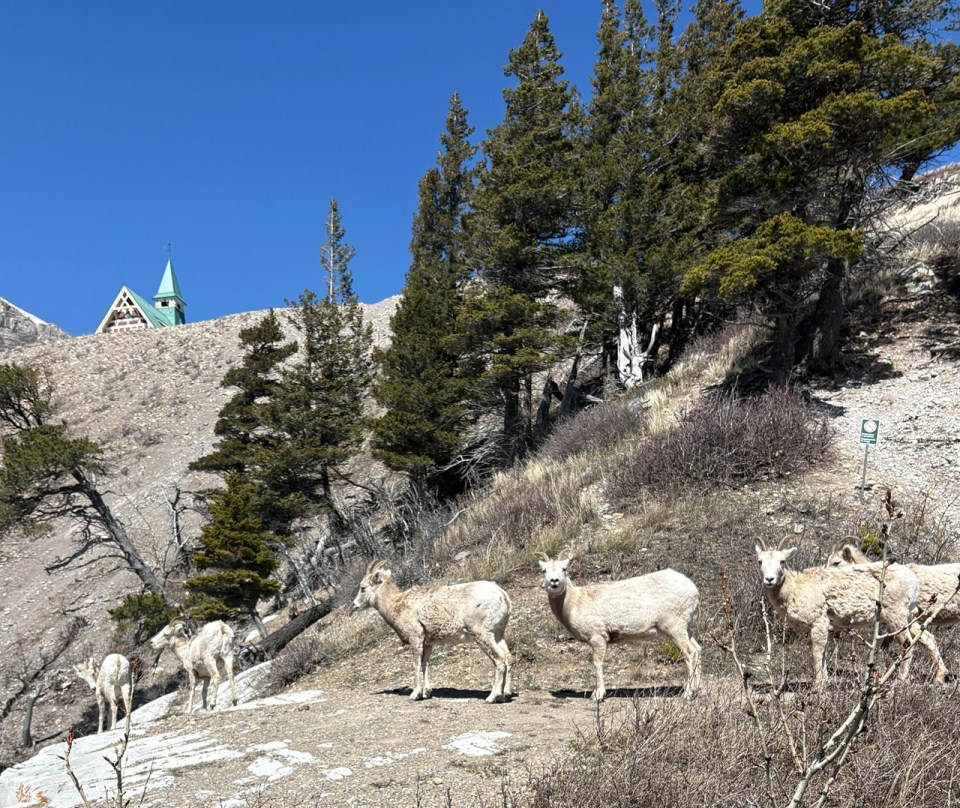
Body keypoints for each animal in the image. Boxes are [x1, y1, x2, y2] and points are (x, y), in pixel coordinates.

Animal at [351, 560, 512, 703]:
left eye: (363, 588)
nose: (354, 606)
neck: (396, 605)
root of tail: (502, 595)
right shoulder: (428, 643)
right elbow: (425, 664)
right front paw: (426, 693)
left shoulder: (416, 639)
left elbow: (416, 664)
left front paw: (415, 694)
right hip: (498, 634)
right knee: (508, 657)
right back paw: (505, 695)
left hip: (481, 634)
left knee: (499, 659)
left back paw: (492, 697)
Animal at [537, 555, 702, 700]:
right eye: (544, 570)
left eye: (564, 569)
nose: (554, 581)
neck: (575, 602)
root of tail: (692, 589)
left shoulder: (597, 637)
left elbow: (597, 664)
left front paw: (597, 696)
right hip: (686, 627)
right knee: (697, 649)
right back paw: (697, 690)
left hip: (675, 627)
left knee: (690, 653)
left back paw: (687, 694)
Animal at [756, 543, 921, 689]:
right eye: (760, 561)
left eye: (782, 561)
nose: (769, 579)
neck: (795, 589)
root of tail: (913, 580)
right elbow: (823, 654)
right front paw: (824, 682)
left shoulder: (818, 623)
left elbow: (816, 652)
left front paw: (817, 688)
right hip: (907, 618)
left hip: (896, 617)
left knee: (907, 644)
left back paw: (898, 683)